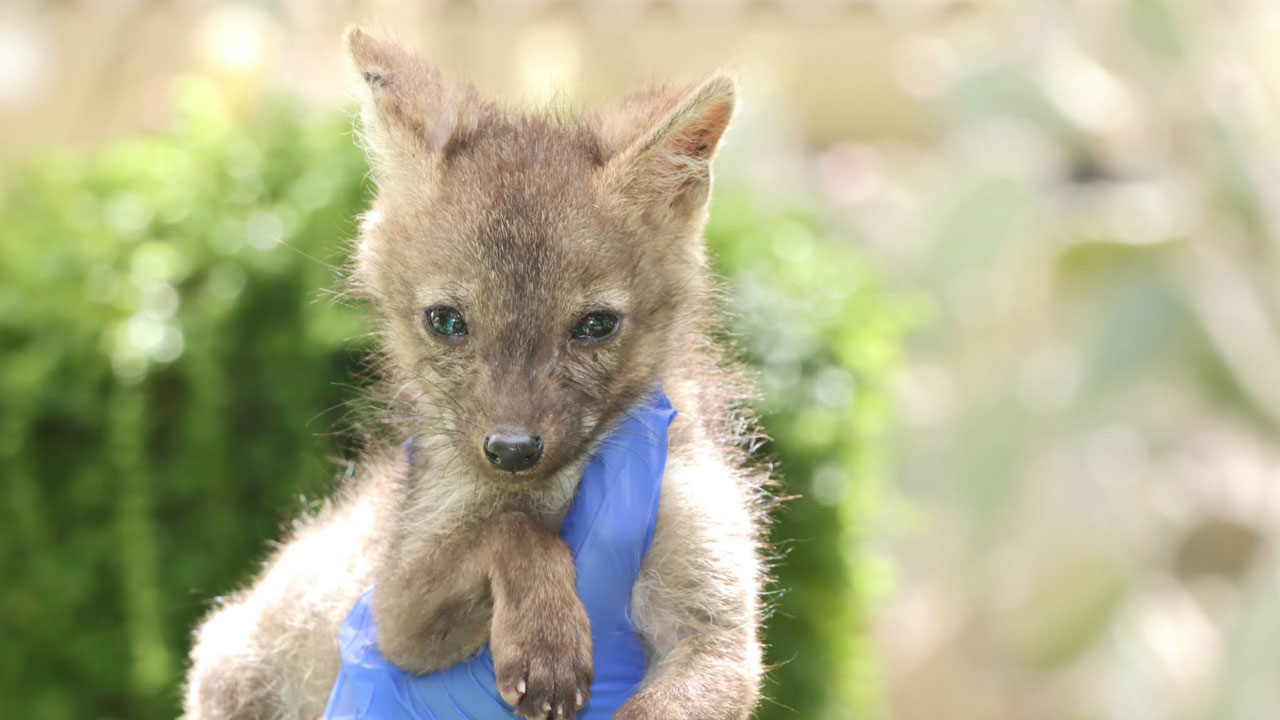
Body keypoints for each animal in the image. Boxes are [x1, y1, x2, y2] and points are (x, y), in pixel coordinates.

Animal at [182, 27, 769, 720]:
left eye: (596, 325)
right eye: (446, 321)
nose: (511, 450)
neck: (559, 492)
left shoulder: (716, 633)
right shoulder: (394, 614)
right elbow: (510, 532)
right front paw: (546, 640)